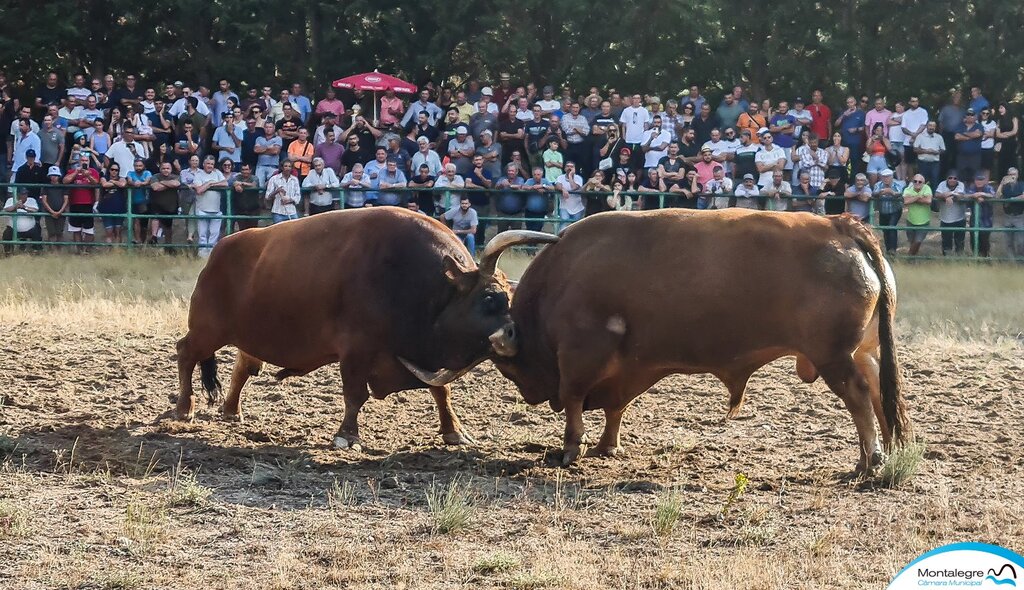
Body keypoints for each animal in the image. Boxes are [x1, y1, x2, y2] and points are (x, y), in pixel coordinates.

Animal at [176, 206, 561, 446]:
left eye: (509, 296)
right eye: (490, 298)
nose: (513, 333)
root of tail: (221, 248)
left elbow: (442, 391)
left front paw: (454, 431)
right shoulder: (356, 349)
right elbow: (354, 393)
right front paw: (347, 435)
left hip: (247, 336)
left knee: (243, 366)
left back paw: (231, 411)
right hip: (208, 330)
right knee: (185, 352)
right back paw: (184, 408)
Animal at [495, 209, 913, 473]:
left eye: (509, 365)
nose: (530, 394)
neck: (561, 276)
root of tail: (838, 226)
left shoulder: (580, 354)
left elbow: (573, 400)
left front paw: (571, 449)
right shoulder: (626, 369)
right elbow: (615, 407)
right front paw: (606, 446)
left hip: (834, 357)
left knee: (858, 394)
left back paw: (869, 461)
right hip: (861, 353)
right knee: (878, 391)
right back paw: (884, 454)